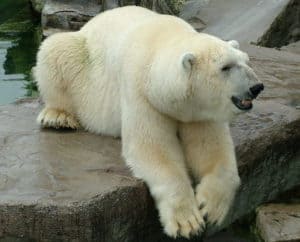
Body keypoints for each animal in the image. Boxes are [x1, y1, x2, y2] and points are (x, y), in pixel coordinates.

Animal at [35, 6, 262, 240]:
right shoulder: (141, 92)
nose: (256, 87)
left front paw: (210, 209)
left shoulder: (199, 111)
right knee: (55, 50)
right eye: (225, 67)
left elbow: (211, 149)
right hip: (81, 57)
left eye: (246, 61)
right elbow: (152, 149)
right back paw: (58, 117)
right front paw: (187, 222)